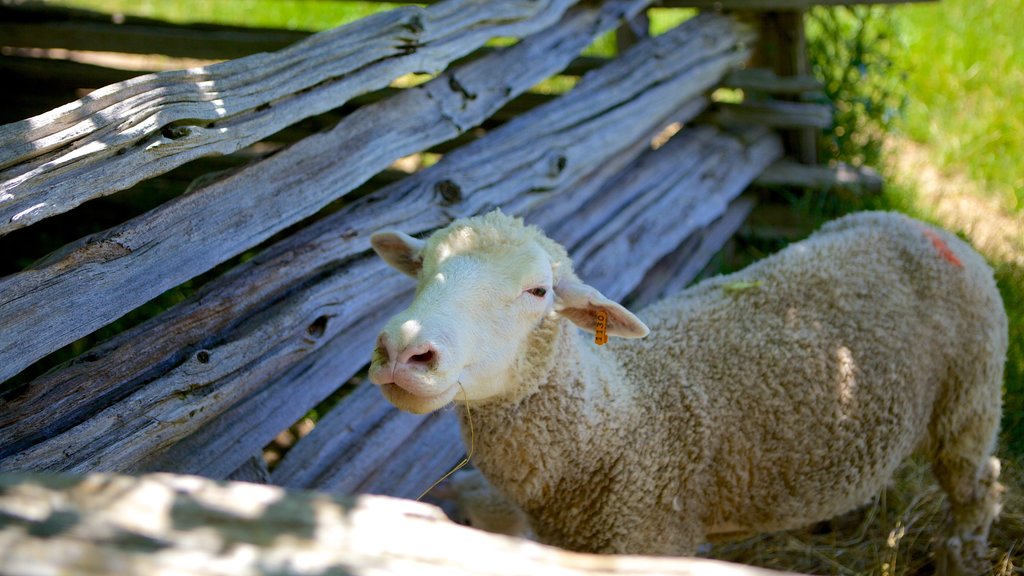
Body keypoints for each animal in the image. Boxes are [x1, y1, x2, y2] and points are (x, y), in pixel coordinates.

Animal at [366, 208, 999, 569]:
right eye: (420, 266)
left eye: (538, 291)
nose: (403, 351)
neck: (614, 422)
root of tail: (923, 226)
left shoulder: (653, 538)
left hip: (968, 400)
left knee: (978, 487)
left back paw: (961, 557)